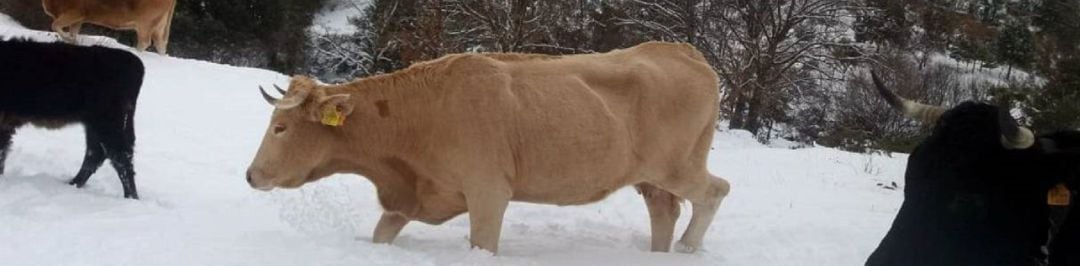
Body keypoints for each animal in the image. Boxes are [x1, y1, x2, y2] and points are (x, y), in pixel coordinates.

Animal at [0, 38, 143, 198]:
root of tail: (134, 62)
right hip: (94, 124)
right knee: (96, 153)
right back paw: (72, 184)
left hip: (108, 123)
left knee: (120, 158)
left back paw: (130, 197)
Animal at [42, 0, 176, 54]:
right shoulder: (79, 19)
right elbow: (73, 33)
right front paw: (73, 42)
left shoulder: (74, 13)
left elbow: (55, 25)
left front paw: (68, 39)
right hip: (159, 25)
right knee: (160, 44)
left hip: (145, 23)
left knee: (145, 42)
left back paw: (133, 52)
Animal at [246, 42, 734, 253]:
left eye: (281, 127)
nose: (251, 175)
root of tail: (681, 50)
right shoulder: (411, 196)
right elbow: (381, 235)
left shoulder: (488, 192)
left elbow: (482, 244)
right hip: (651, 178)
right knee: (664, 211)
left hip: (676, 165)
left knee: (715, 191)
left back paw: (687, 249)